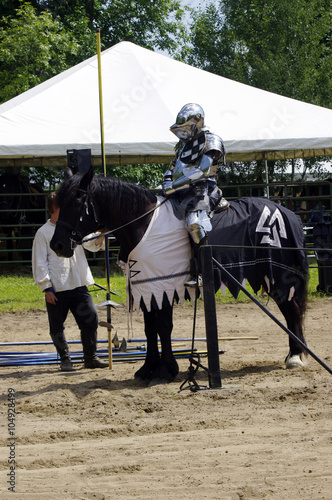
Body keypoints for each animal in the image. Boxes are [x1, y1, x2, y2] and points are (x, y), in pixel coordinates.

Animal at [50, 168, 308, 382]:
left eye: (77, 200)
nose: (57, 245)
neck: (142, 222)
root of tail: (287, 212)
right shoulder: (147, 287)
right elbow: (150, 328)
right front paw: (148, 368)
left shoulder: (162, 284)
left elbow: (163, 327)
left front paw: (167, 369)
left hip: (280, 277)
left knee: (292, 311)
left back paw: (296, 357)